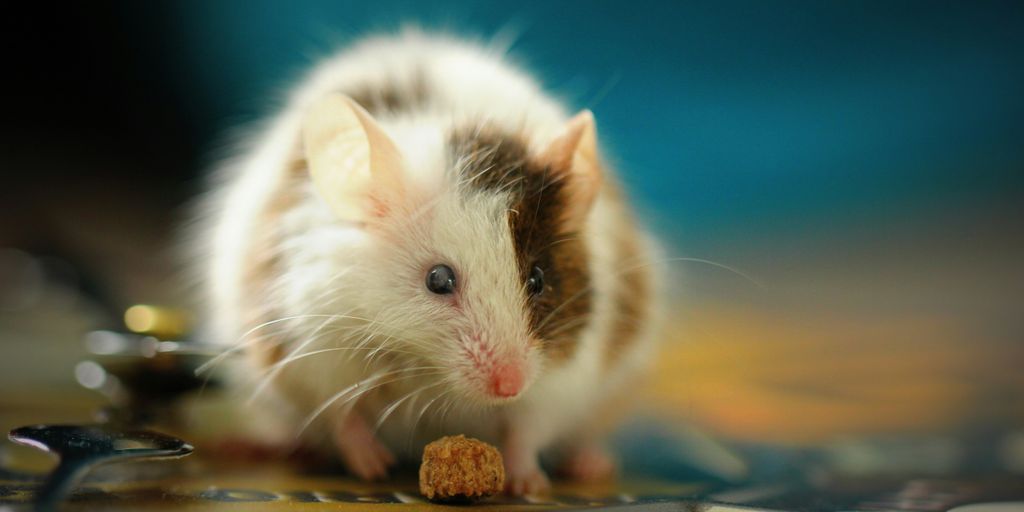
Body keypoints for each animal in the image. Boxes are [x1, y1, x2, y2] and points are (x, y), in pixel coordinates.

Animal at [195, 31, 663, 495]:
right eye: (438, 279)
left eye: (537, 279)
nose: (509, 386)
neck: (431, 373)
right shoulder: (311, 354)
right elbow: (341, 418)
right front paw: (373, 467)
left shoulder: (561, 378)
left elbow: (526, 430)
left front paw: (528, 482)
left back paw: (589, 464)